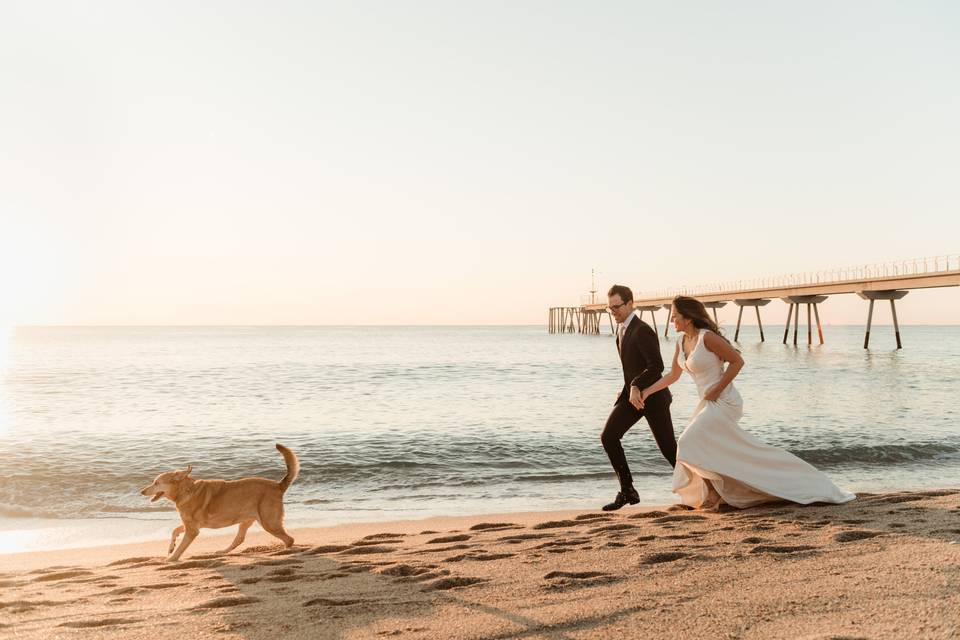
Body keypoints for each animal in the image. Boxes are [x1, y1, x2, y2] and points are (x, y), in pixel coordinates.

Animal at [141, 444, 298, 560]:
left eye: (156, 483)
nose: (142, 491)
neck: (185, 490)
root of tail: (278, 485)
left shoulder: (192, 530)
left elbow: (181, 548)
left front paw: (171, 559)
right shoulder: (190, 525)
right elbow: (175, 531)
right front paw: (171, 547)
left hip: (269, 522)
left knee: (289, 539)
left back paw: (283, 552)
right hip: (247, 520)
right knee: (238, 539)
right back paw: (223, 551)